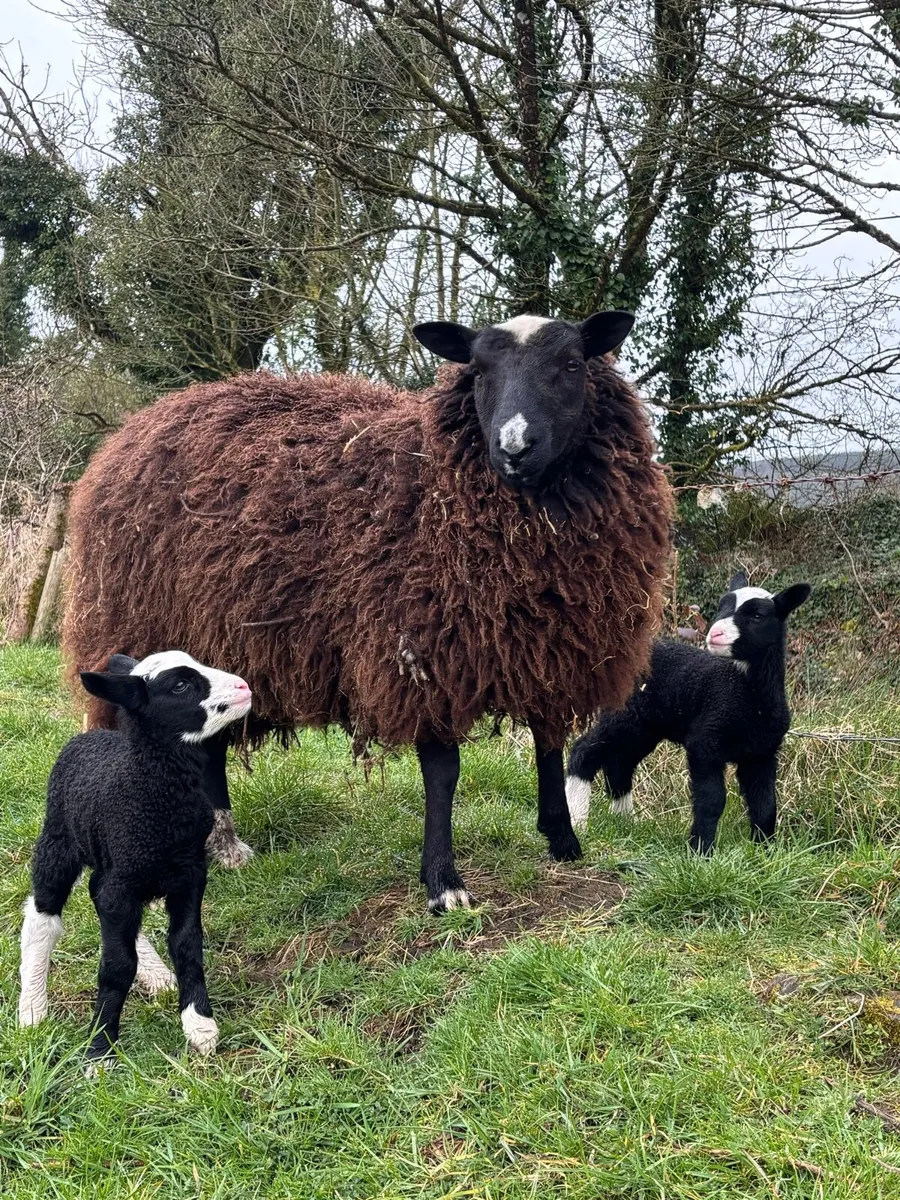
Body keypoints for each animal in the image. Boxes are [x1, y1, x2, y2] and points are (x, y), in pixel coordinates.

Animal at [18, 650, 252, 1067]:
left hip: (114, 867)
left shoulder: (189, 875)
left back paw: (157, 976)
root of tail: (91, 735)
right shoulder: (124, 882)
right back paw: (31, 1008)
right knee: (42, 915)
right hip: (59, 839)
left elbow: (187, 945)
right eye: (180, 685)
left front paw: (200, 1025)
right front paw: (99, 1050)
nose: (244, 687)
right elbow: (116, 967)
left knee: (99, 895)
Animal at [62, 310, 674, 912]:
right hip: (146, 629)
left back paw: (225, 844)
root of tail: (133, 429)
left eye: (572, 365)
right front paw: (443, 882)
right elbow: (443, 773)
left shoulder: (550, 645)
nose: (514, 445)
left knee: (206, 742)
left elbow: (549, 742)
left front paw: (562, 839)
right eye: (477, 372)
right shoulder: (420, 650)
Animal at [565, 572, 811, 852]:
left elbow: (765, 804)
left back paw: (625, 822)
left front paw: (764, 850)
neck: (749, 697)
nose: (714, 633)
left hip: (645, 727)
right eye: (722, 607)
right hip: (624, 715)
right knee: (584, 751)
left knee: (619, 765)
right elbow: (712, 801)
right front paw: (701, 849)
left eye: (758, 615)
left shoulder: (762, 753)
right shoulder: (704, 742)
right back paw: (577, 821)